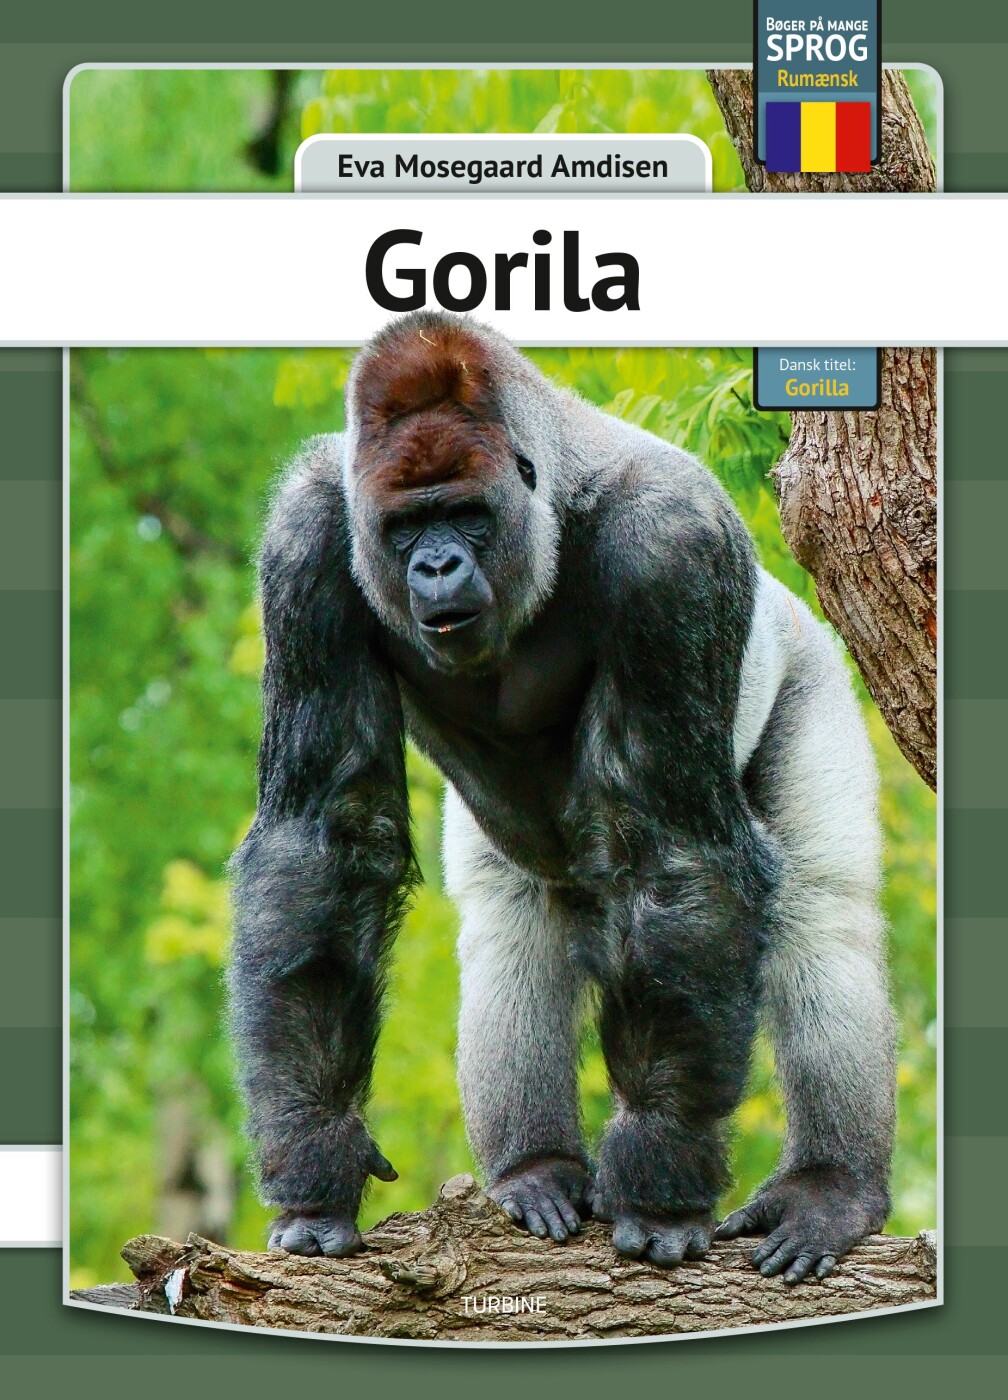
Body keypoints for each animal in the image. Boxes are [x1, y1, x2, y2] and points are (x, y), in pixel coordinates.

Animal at [228, 310, 895, 1284]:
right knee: (512, 926)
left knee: (822, 913)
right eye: (406, 526)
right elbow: (321, 843)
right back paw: (533, 1170)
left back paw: (830, 1187)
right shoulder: (308, 539)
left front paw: (660, 1183)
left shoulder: (672, 545)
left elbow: (675, 854)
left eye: (466, 515)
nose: (435, 567)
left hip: (807, 660)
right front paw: (317, 1159)